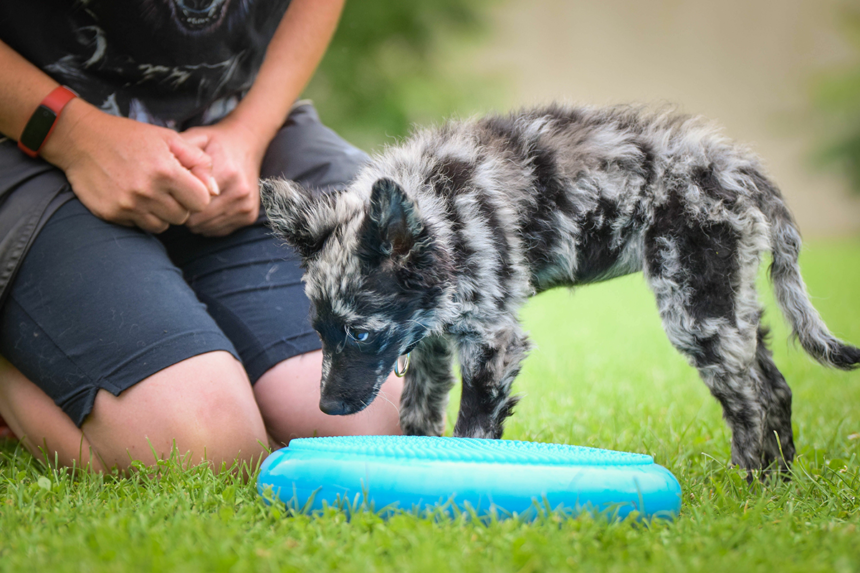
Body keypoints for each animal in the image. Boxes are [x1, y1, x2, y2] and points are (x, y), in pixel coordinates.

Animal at [262, 105, 860, 472]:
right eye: (319, 332)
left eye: (361, 335)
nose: (327, 409)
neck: (446, 211)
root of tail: (737, 165)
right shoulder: (431, 344)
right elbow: (418, 425)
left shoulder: (493, 344)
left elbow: (471, 434)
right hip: (730, 305)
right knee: (775, 389)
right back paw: (779, 485)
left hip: (697, 310)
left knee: (750, 403)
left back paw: (747, 483)